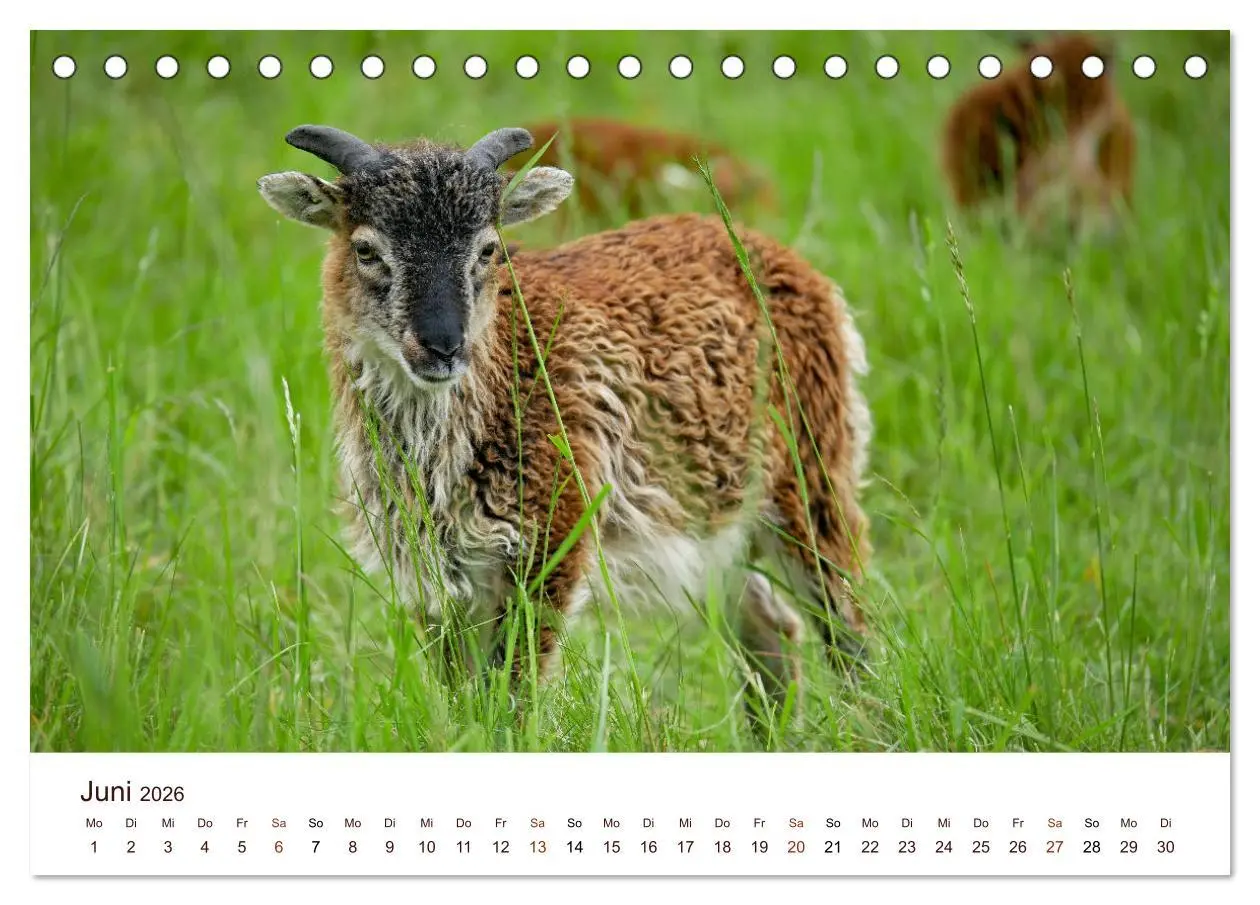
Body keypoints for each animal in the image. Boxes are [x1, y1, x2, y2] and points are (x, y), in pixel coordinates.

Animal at [257, 123, 873, 729]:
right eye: (366, 248)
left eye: (489, 248)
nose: (442, 345)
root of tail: (799, 270)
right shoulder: (434, 575)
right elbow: (463, 698)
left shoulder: (553, 541)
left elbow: (513, 693)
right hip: (716, 528)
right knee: (771, 625)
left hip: (810, 478)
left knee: (847, 623)